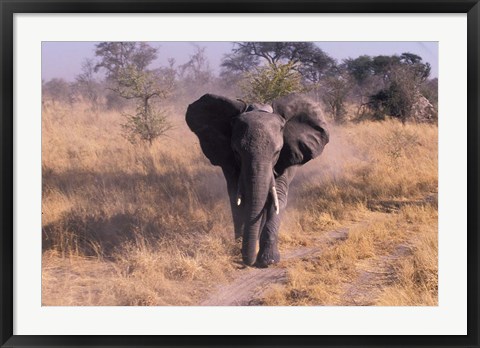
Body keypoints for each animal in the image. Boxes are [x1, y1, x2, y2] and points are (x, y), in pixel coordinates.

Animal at [186, 92, 328, 266]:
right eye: (236, 152)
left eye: (277, 152)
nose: (248, 261)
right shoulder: (228, 160)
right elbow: (236, 197)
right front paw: (239, 248)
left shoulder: (287, 157)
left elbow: (278, 197)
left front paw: (269, 261)